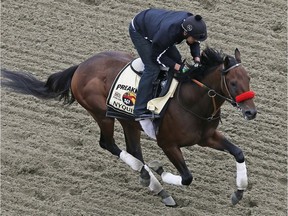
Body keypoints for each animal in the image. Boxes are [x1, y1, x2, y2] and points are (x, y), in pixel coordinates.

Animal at [0, 46, 256, 206]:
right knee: (109, 144)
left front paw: (239, 192)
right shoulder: (168, 144)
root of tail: (81, 67)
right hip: (103, 114)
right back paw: (155, 183)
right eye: (233, 83)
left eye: (249, 79)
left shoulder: (207, 137)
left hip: (128, 121)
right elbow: (187, 177)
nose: (251, 112)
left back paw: (153, 182)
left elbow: (238, 152)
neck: (191, 100)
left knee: (133, 151)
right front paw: (162, 172)